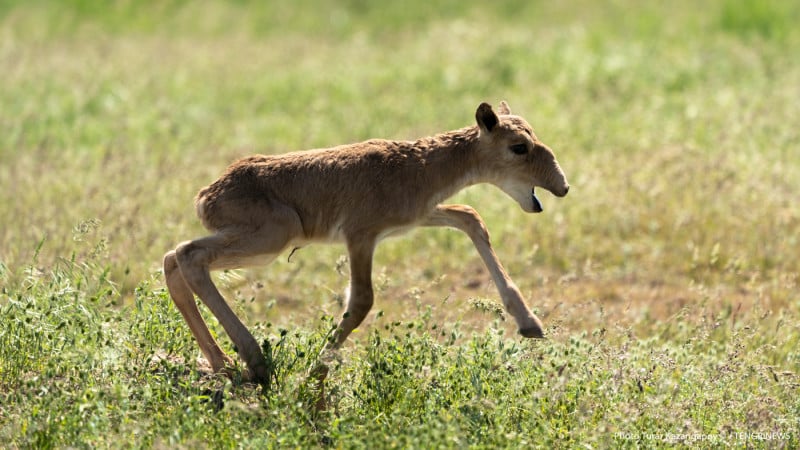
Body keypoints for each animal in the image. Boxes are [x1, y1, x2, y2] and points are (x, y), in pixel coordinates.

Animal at [164, 101, 568, 384]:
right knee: (188, 254)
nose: (562, 185)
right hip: (272, 237)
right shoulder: (361, 235)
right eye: (519, 146)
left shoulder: (418, 215)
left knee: (173, 257)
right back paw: (254, 362)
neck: (423, 167)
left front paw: (529, 322)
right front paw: (313, 379)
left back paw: (224, 364)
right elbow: (361, 301)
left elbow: (470, 216)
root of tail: (206, 195)